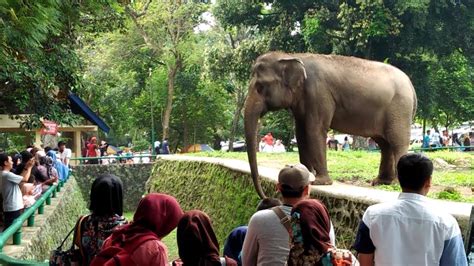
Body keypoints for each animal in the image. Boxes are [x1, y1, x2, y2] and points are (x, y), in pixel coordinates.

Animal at [246, 52, 416, 198]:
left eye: (260, 86)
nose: (265, 197)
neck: (292, 55)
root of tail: (411, 85)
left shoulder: (318, 93)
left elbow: (314, 130)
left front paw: (319, 182)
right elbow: (300, 133)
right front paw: (304, 176)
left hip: (399, 109)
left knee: (397, 142)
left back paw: (396, 183)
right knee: (384, 144)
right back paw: (381, 182)